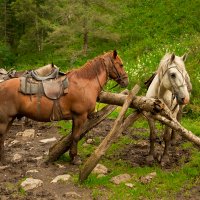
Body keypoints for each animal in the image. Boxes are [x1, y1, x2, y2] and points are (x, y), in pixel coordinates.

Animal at [0, 50, 128, 164]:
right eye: (121, 64)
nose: (126, 81)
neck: (84, 84)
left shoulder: (75, 117)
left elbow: (72, 136)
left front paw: (72, 155)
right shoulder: (80, 116)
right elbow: (76, 136)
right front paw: (75, 158)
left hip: (10, 120)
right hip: (5, 120)